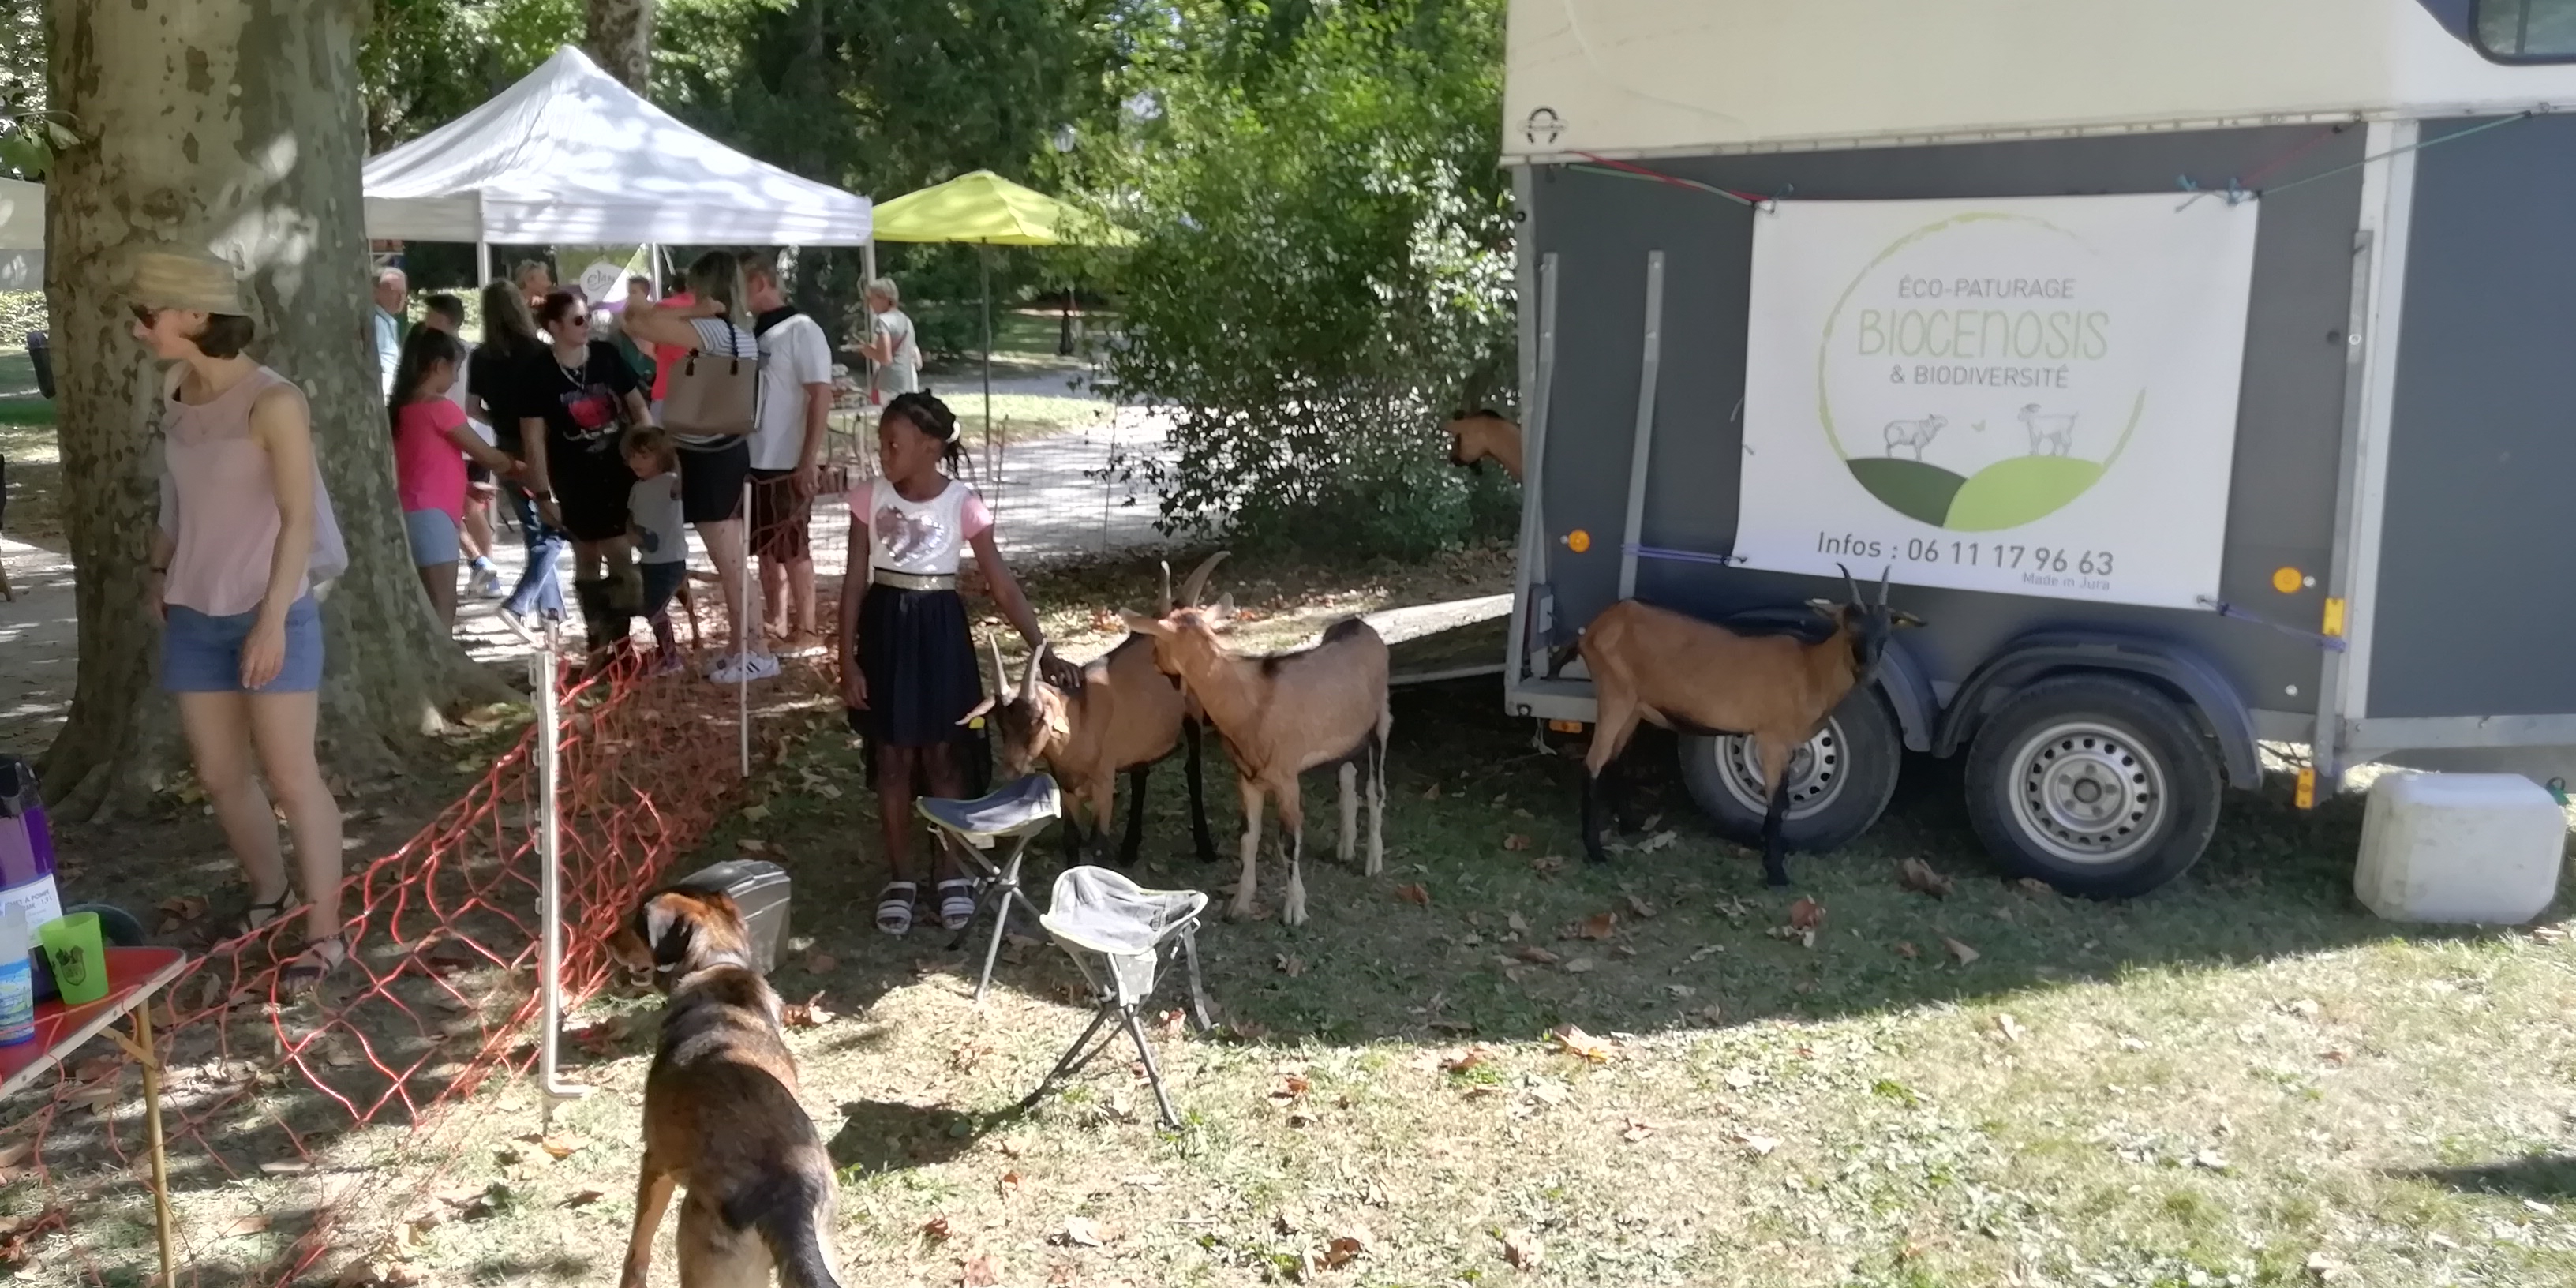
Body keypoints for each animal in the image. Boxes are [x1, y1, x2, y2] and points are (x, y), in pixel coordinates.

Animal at [610, 887, 842, 1288]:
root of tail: (788, 1197)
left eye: (637, 922)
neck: (715, 964)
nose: (607, 940)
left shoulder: (655, 1162)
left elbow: (639, 1244)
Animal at [981, 554, 1224, 867]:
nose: (1012, 769)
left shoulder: (1104, 782)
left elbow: (1098, 845)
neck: (1079, 717)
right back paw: (1129, 849)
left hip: (1191, 716)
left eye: (1038, 719)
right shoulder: (1067, 787)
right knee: (1141, 775)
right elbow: (1071, 839)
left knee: (1192, 772)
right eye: (1001, 723)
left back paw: (1205, 848)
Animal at [1121, 603, 1391, 926]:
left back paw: (1373, 862)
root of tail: (1360, 626)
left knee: (1376, 790)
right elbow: (1248, 839)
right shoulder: (1248, 777)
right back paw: (1346, 848)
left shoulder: (1286, 778)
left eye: (1156, 641)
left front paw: (1295, 911)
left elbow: (1288, 843)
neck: (1251, 704)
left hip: (1381, 721)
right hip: (1346, 735)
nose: (1154, 661)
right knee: (1347, 774)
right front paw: (1239, 904)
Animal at [1562, 566, 1922, 886]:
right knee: (1592, 764)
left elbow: (1784, 803)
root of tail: (1599, 625)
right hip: (1615, 695)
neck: (1809, 669)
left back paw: (1628, 825)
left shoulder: (1791, 744)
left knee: (1614, 760)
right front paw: (1776, 874)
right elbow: (1777, 804)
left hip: (1633, 706)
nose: (1869, 673)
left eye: (1886, 632)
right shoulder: (1772, 739)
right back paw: (1595, 852)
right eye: (1850, 628)